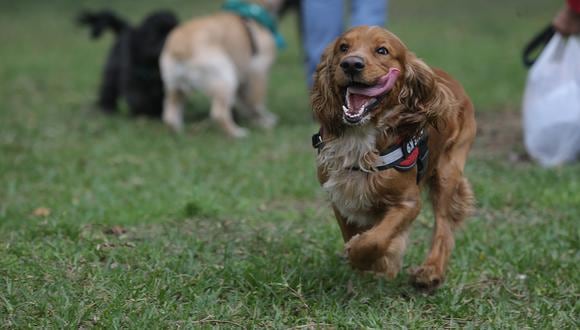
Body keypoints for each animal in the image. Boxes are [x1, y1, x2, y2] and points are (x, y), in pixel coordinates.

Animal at [161, 0, 284, 137]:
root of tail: (181, 47)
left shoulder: (242, 81)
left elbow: (247, 104)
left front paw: (263, 119)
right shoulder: (258, 73)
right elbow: (256, 103)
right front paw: (264, 122)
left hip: (174, 88)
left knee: (170, 115)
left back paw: (179, 133)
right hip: (226, 78)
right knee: (219, 114)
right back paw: (237, 133)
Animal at [312, 26, 476, 288]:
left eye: (382, 50)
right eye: (343, 47)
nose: (351, 64)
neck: (362, 135)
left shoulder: (408, 202)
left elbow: (374, 240)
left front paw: (377, 260)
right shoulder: (341, 196)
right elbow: (354, 232)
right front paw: (377, 262)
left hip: (447, 171)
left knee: (443, 225)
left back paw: (430, 271)